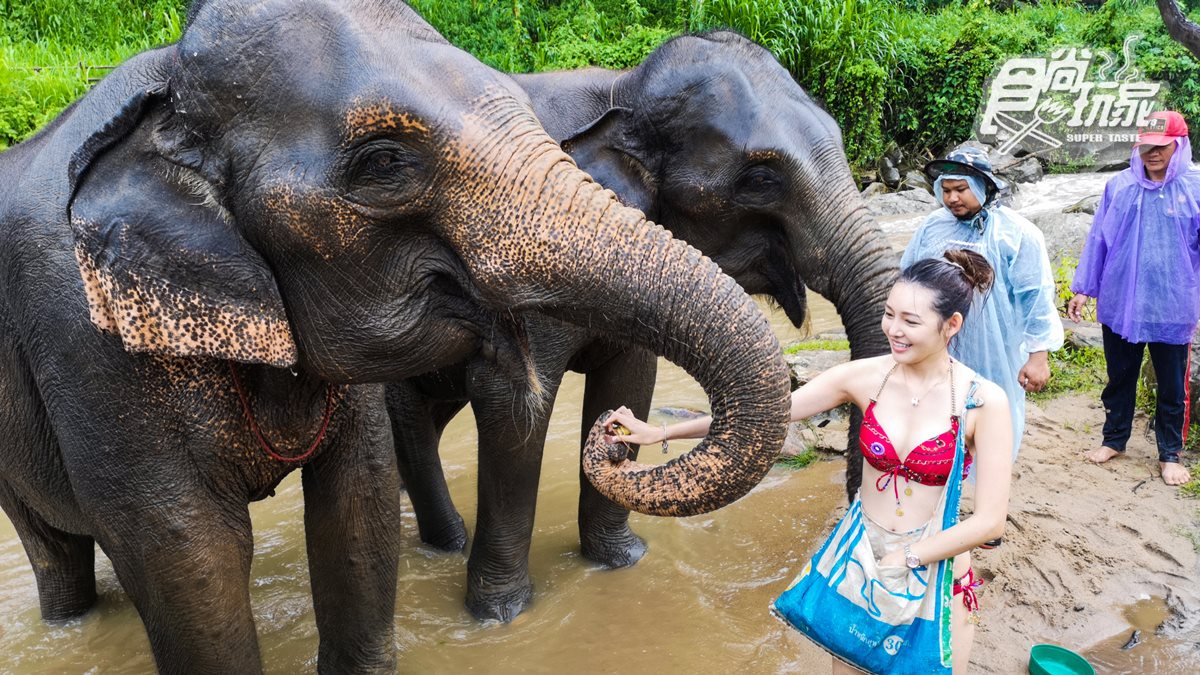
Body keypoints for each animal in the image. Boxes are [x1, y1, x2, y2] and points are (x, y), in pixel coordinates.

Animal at [0, 3, 796, 667]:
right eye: (383, 162)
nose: (612, 434)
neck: (165, 90)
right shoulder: (88, 344)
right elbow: (185, 548)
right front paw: (504, 615)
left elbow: (361, 498)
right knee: (55, 546)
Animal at [388, 30, 897, 619]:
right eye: (761, 179)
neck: (622, 86)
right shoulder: (522, 250)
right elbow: (513, 405)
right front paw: (502, 616)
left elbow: (631, 381)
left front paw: (621, 562)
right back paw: (447, 543)